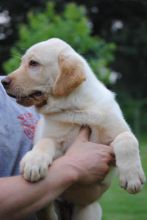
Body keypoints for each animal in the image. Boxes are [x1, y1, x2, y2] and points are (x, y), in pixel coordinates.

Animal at [2, 37, 145, 220]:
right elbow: (45, 142)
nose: (3, 81)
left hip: (89, 211)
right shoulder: (56, 143)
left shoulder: (113, 137)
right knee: (46, 209)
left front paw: (132, 177)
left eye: (33, 63)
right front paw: (34, 161)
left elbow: (127, 139)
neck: (75, 108)